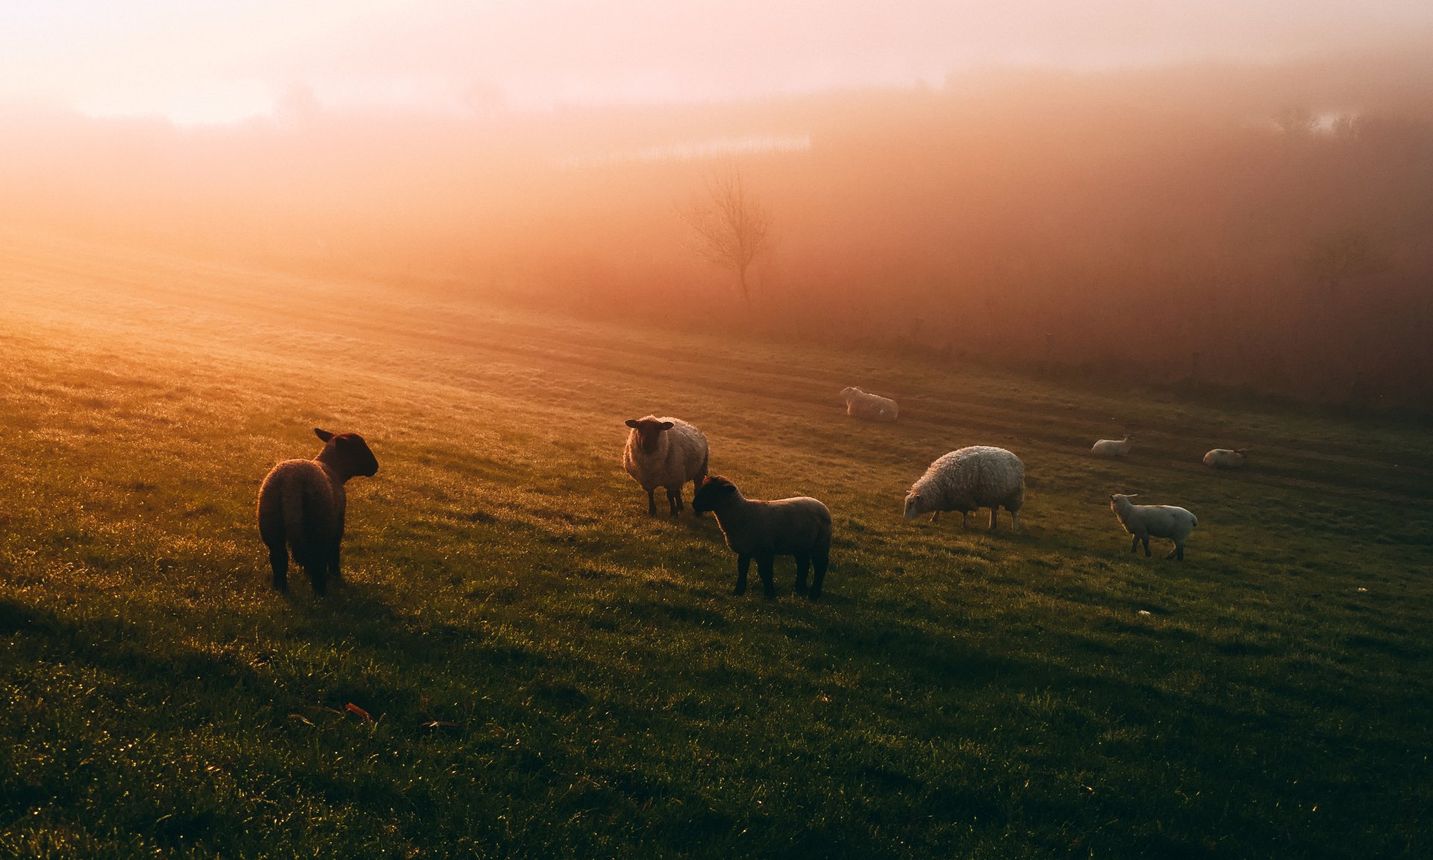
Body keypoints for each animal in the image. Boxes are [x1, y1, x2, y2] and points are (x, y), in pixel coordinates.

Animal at [257, 427, 378, 593]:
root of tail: (291, 483)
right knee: (317, 560)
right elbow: (334, 551)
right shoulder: (338, 522)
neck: (333, 468)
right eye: (359, 448)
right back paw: (321, 592)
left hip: (270, 521)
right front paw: (336, 575)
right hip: (319, 521)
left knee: (279, 558)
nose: (375, 466)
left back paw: (280, 589)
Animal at [690, 472, 836, 602]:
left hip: (821, 542)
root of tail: (822, 505)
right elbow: (742, 570)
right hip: (801, 544)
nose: (694, 504)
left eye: (712, 491)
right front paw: (738, 592)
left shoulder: (765, 550)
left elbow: (765, 572)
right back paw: (799, 589)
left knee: (820, 566)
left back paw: (814, 594)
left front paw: (769, 595)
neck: (741, 512)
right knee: (803, 564)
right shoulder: (745, 550)